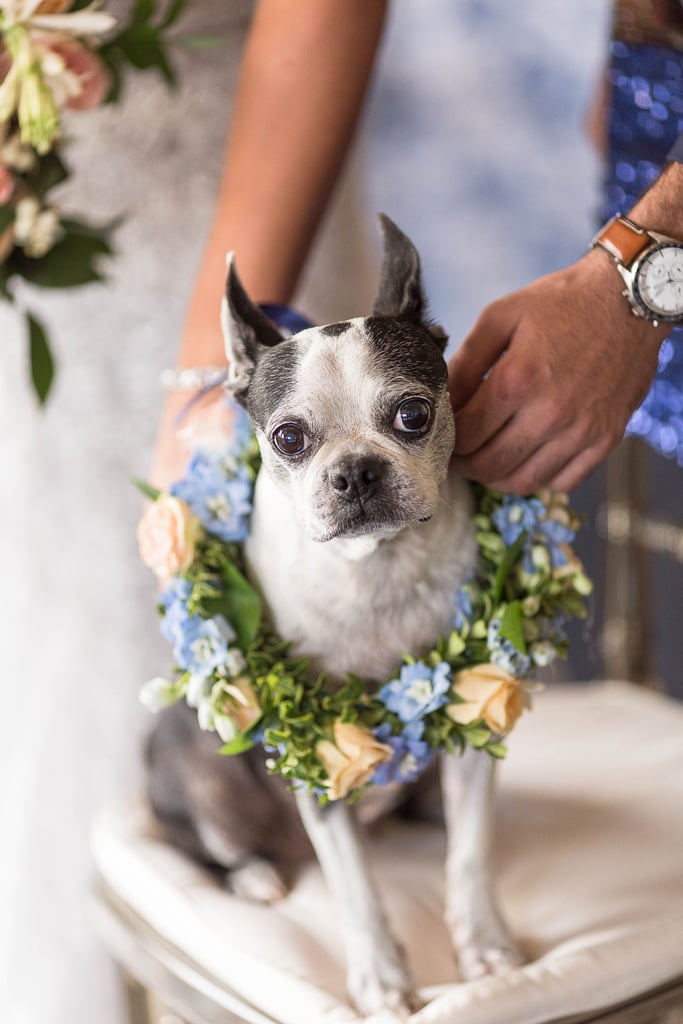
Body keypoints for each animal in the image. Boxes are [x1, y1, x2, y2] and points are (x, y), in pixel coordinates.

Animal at [147, 216, 528, 1015]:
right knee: (204, 840)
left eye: (413, 414)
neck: (375, 566)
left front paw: (484, 947)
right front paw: (382, 981)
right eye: (288, 437)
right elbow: (356, 891)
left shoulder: (475, 713)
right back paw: (254, 874)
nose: (355, 470)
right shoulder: (319, 756)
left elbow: (470, 854)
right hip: (199, 765)